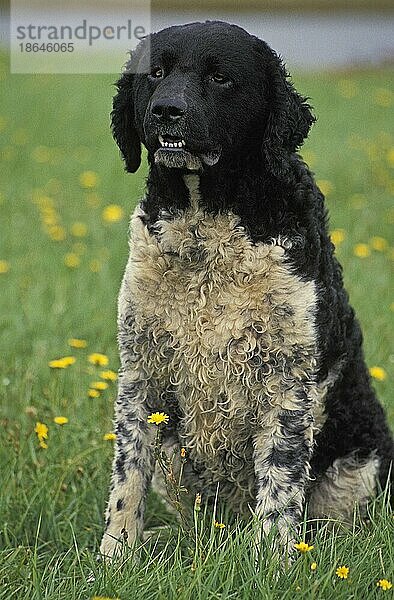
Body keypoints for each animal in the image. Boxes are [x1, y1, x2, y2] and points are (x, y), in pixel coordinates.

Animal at [100, 22, 392, 556]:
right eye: (156, 73)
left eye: (221, 78)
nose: (166, 110)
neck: (206, 232)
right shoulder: (141, 373)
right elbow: (127, 477)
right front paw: (117, 553)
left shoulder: (289, 380)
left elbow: (280, 482)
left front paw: (272, 559)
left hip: (359, 462)